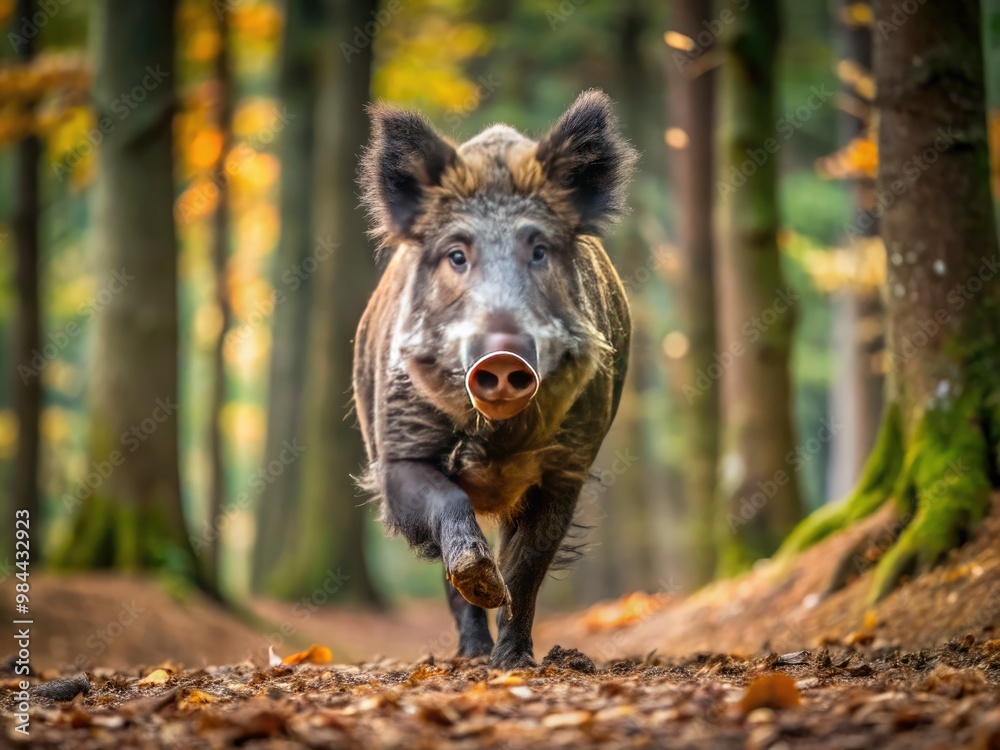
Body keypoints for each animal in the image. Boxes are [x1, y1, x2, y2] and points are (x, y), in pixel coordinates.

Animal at [353, 90, 636, 669]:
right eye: (457, 255)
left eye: (539, 251)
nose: (502, 357)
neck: (497, 440)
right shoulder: (397, 450)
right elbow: (447, 507)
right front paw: (481, 586)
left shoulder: (569, 463)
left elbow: (528, 564)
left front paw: (515, 662)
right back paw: (470, 654)